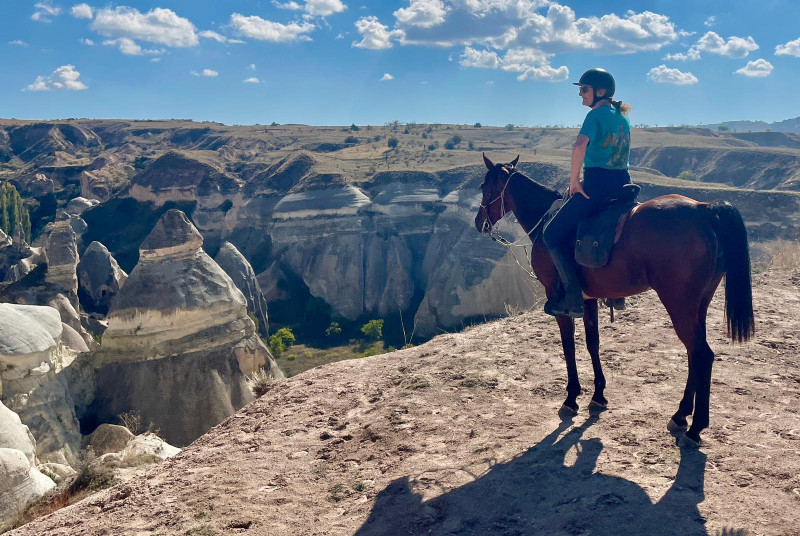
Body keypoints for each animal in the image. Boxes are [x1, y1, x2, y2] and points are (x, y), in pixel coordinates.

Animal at [478, 156, 752, 448]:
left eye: (484, 187)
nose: (478, 221)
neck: (545, 221)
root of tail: (703, 210)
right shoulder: (587, 299)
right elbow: (592, 343)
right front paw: (598, 395)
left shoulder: (562, 303)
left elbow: (568, 347)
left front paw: (571, 397)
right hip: (699, 303)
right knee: (694, 353)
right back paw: (680, 416)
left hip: (680, 304)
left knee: (702, 354)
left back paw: (695, 428)